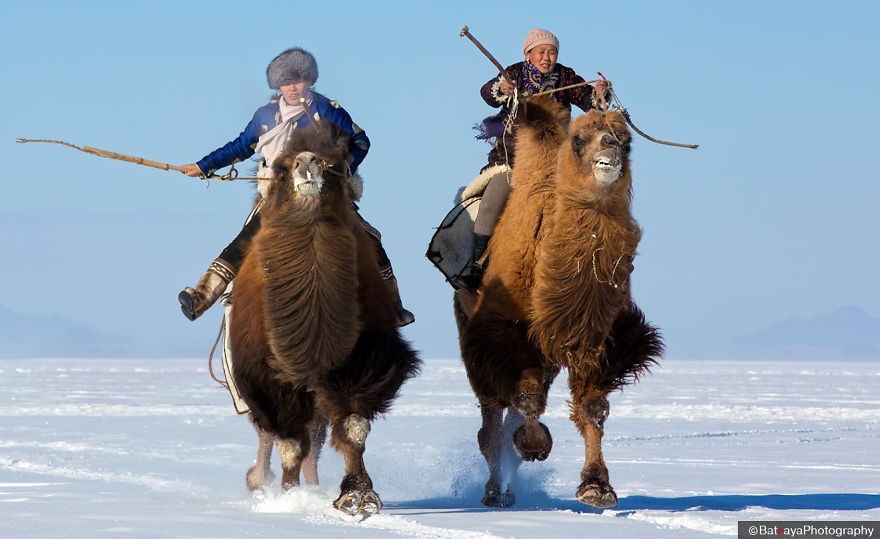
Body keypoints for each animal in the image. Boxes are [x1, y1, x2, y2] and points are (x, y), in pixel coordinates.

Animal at [227, 120, 421, 515]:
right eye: (283, 168)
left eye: (334, 164)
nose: (307, 163)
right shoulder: (267, 376)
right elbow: (289, 442)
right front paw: (289, 497)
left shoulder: (361, 362)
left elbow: (352, 427)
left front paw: (357, 496)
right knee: (275, 434)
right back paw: (261, 482)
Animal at [454, 95, 663, 509]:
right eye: (579, 139)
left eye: (627, 140)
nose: (610, 148)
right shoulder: (504, 331)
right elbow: (528, 401)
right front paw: (535, 446)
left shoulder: (597, 336)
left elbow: (593, 407)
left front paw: (597, 486)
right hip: (470, 326)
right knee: (491, 420)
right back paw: (494, 491)